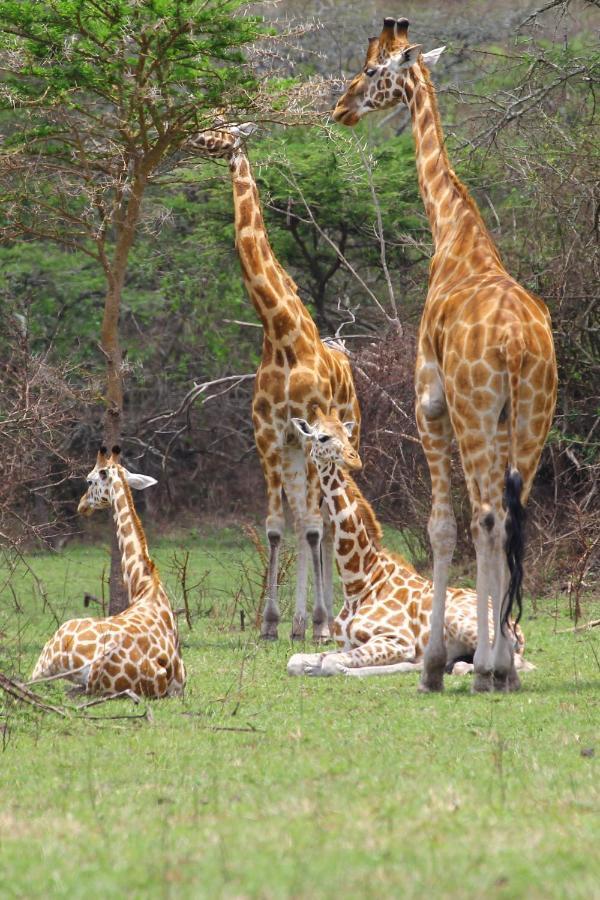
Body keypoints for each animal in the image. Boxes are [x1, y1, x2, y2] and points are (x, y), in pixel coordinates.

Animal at [29, 446, 185, 700]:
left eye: (90, 480)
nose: (82, 505)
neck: (145, 585)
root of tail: (99, 666)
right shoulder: (179, 688)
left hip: (47, 658)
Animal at [189, 126, 360, 644]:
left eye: (222, 127)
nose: (192, 136)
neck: (281, 333)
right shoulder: (269, 434)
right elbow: (276, 525)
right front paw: (271, 624)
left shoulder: (313, 433)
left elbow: (314, 526)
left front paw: (317, 623)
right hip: (293, 451)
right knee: (308, 518)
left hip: (346, 436)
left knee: (326, 520)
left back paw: (331, 619)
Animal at [286, 412, 528, 680]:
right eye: (323, 437)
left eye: (347, 435)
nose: (354, 459)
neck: (358, 581)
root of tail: (516, 628)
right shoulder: (346, 643)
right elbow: (294, 661)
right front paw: (311, 666)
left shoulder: (397, 639)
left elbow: (332, 664)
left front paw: (342, 668)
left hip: (462, 622)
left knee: (517, 663)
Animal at [330, 17, 556, 692]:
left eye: (372, 70)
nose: (341, 107)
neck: (455, 236)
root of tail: (518, 343)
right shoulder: (495, 418)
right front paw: (490, 655)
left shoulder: (429, 402)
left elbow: (442, 524)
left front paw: (434, 663)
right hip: (531, 417)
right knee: (511, 514)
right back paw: (502, 668)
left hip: (475, 413)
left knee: (485, 515)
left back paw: (481, 668)